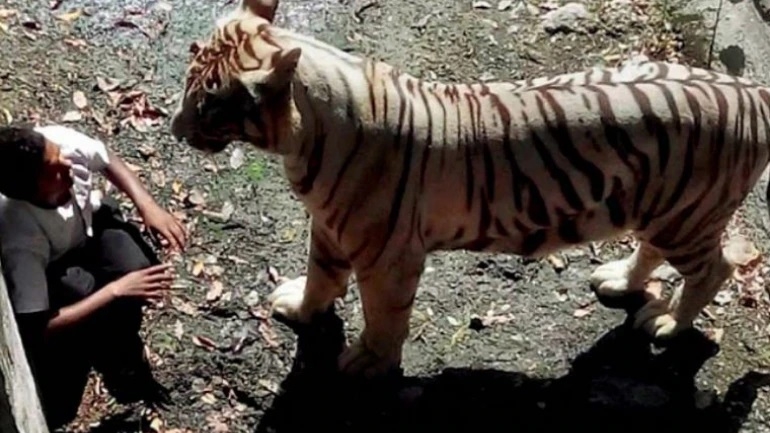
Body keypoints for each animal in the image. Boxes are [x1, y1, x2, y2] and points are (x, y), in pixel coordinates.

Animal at [170, 0, 770, 377]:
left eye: (207, 105)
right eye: (187, 82)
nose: (174, 129)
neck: (303, 137)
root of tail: (752, 90)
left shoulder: (389, 256)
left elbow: (385, 315)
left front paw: (368, 363)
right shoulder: (330, 227)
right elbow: (321, 276)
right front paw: (300, 307)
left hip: (689, 217)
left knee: (715, 269)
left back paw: (667, 322)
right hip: (656, 206)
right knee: (650, 249)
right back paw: (620, 280)